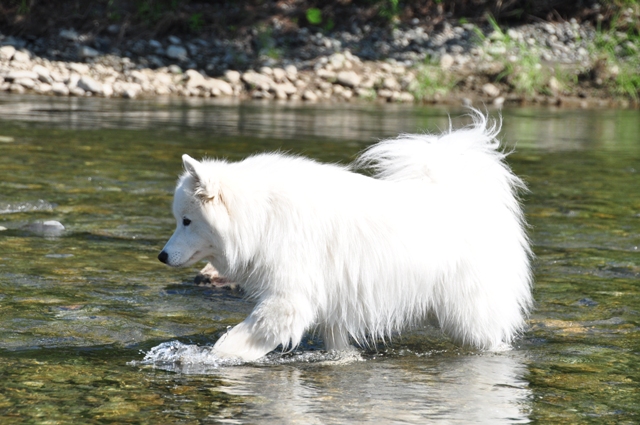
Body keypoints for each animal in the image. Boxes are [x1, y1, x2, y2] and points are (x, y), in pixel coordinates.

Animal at [158, 111, 532, 360]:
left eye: (186, 221)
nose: (161, 256)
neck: (262, 217)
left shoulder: (289, 298)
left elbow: (247, 334)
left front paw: (215, 356)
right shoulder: (331, 302)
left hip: (469, 314)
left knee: (493, 338)